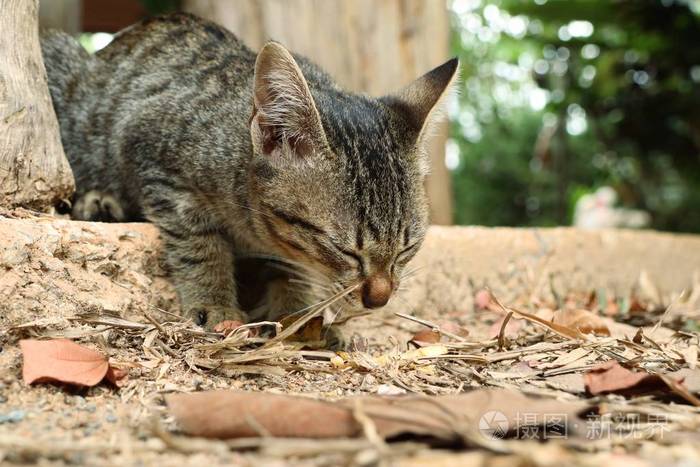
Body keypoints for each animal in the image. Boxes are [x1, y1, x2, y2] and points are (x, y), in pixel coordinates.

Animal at [42, 12, 460, 330]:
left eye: (407, 248)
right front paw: (215, 302)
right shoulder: (157, 161)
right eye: (343, 250)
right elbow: (200, 244)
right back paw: (99, 202)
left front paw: (296, 309)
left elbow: (288, 268)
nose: (379, 298)